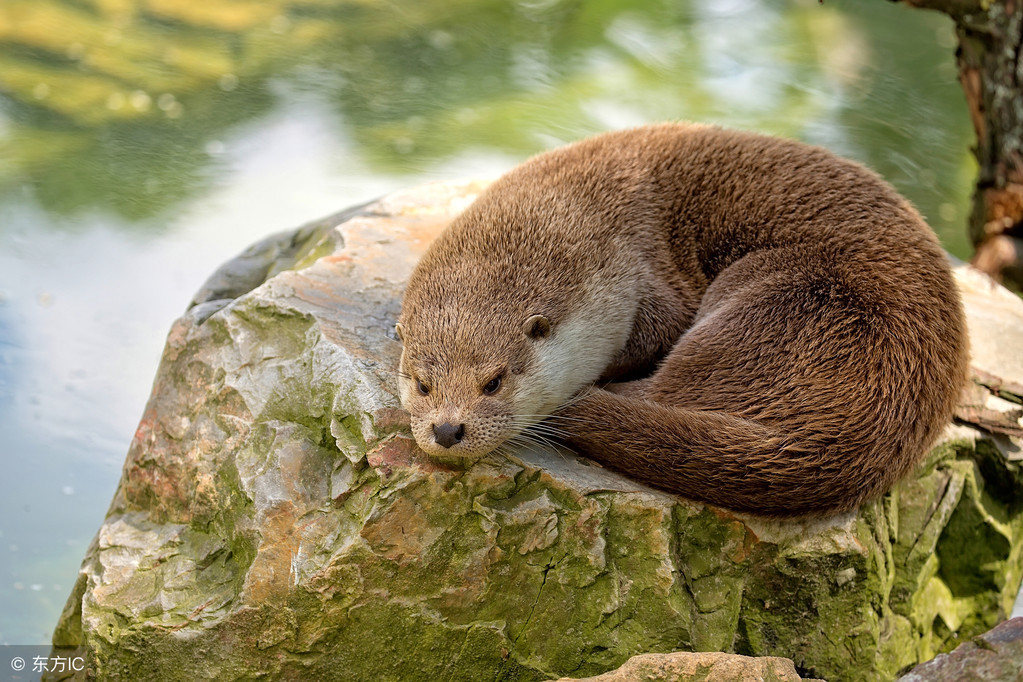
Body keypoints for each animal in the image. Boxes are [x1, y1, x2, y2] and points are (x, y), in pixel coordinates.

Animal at [390, 124, 965, 517]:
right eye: (422, 384)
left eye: (494, 381)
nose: (447, 429)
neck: (586, 211)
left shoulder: (651, 281)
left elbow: (658, 331)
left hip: (784, 302)